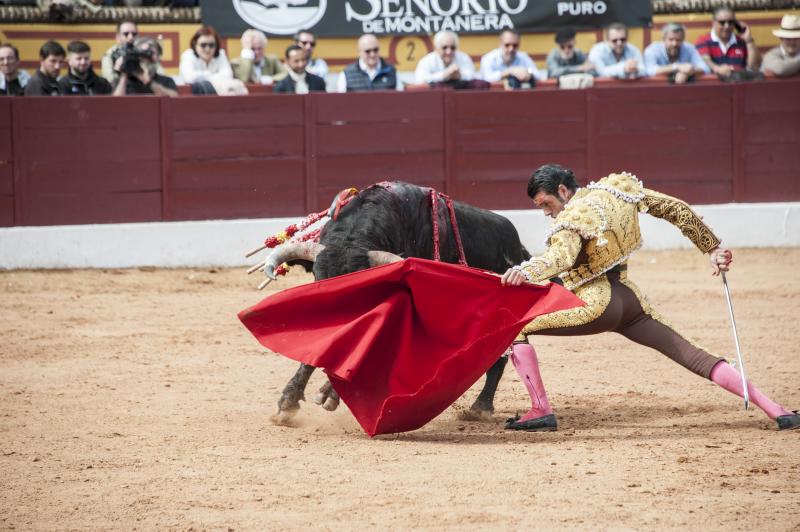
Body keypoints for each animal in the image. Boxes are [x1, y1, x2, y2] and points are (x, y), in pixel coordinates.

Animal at [256, 183, 532, 424]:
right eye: (317, 278)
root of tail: (518, 246)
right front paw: (288, 402)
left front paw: (328, 394)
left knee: (501, 357)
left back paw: (480, 408)